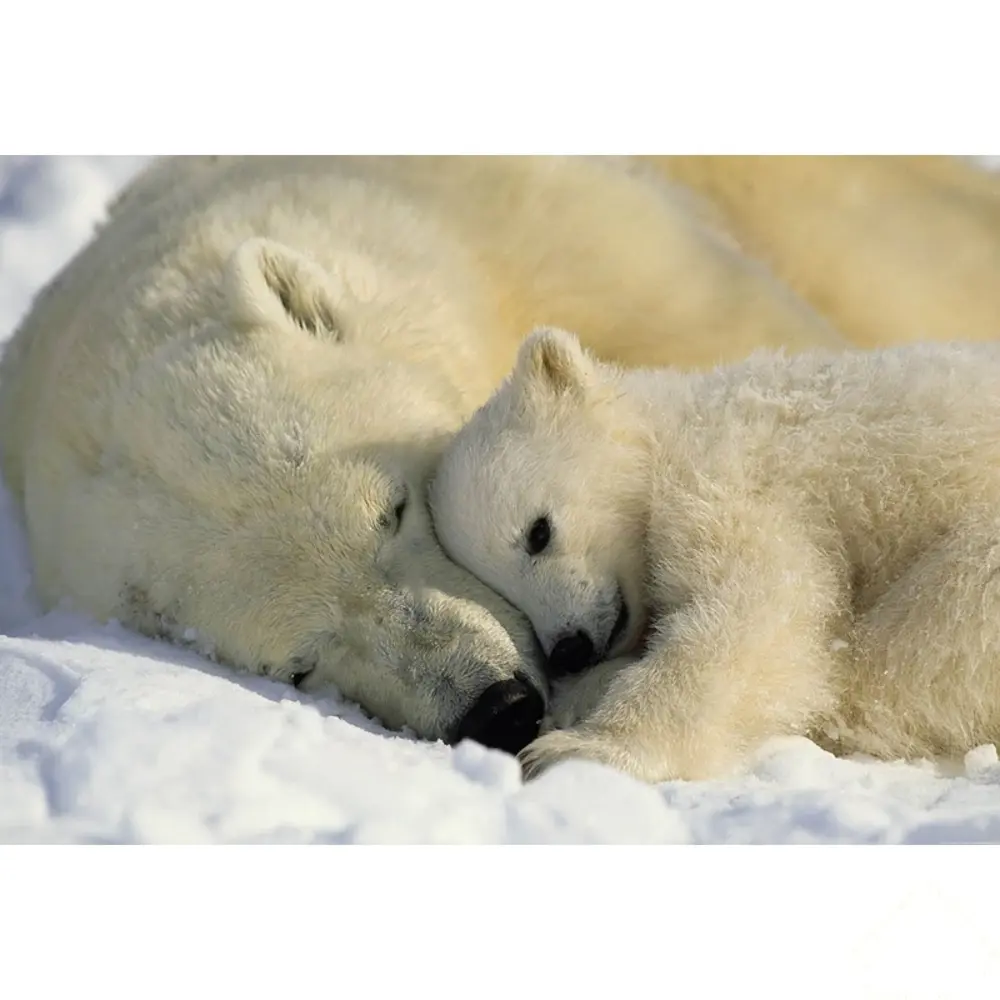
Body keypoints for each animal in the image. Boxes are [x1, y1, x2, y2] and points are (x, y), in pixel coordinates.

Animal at [429, 326, 1000, 783]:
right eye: (503, 592)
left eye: (538, 532)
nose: (569, 649)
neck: (674, 425)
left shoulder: (728, 474)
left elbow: (754, 612)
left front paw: (573, 749)